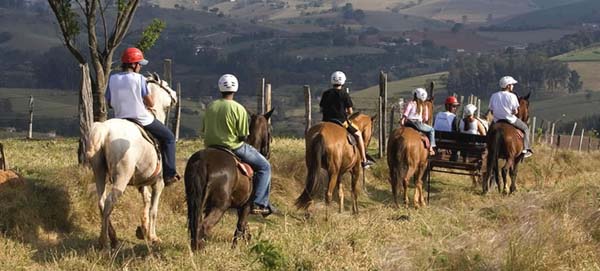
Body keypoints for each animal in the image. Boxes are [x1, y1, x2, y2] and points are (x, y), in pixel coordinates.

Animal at [85, 73, 177, 251]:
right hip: (122, 177)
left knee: (101, 202)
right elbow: (153, 208)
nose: (175, 95)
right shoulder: (159, 183)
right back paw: (105, 242)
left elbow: (146, 200)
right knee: (109, 202)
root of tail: (105, 130)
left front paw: (143, 230)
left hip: (99, 172)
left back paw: (111, 237)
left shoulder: (142, 182)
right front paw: (153, 237)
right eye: (165, 85)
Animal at [185, 108, 274, 251]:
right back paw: (201, 249)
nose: (267, 153)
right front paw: (235, 248)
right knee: (203, 226)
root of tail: (203, 162)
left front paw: (247, 241)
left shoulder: (240, 207)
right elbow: (240, 227)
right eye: (270, 130)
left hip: (194, 200)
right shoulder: (246, 206)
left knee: (195, 224)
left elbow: (244, 227)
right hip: (220, 206)